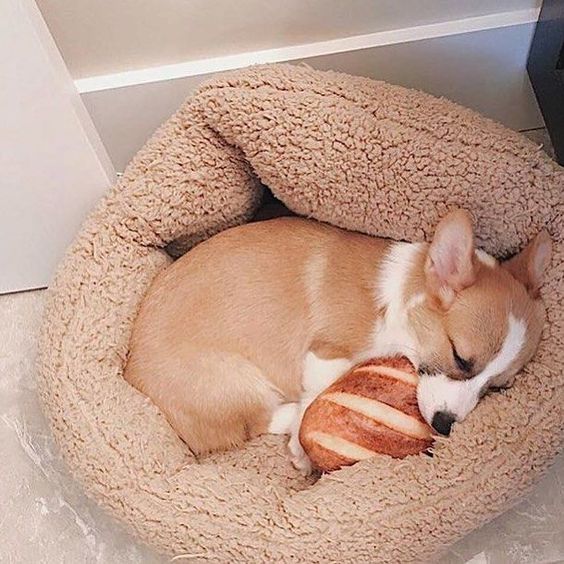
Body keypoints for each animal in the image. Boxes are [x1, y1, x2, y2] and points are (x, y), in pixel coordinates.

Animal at [124, 209, 552, 474]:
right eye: (461, 358)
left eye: (498, 387)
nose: (445, 426)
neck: (398, 304)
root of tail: (131, 377)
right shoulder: (326, 354)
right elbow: (316, 394)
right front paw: (301, 447)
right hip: (237, 381)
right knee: (260, 420)